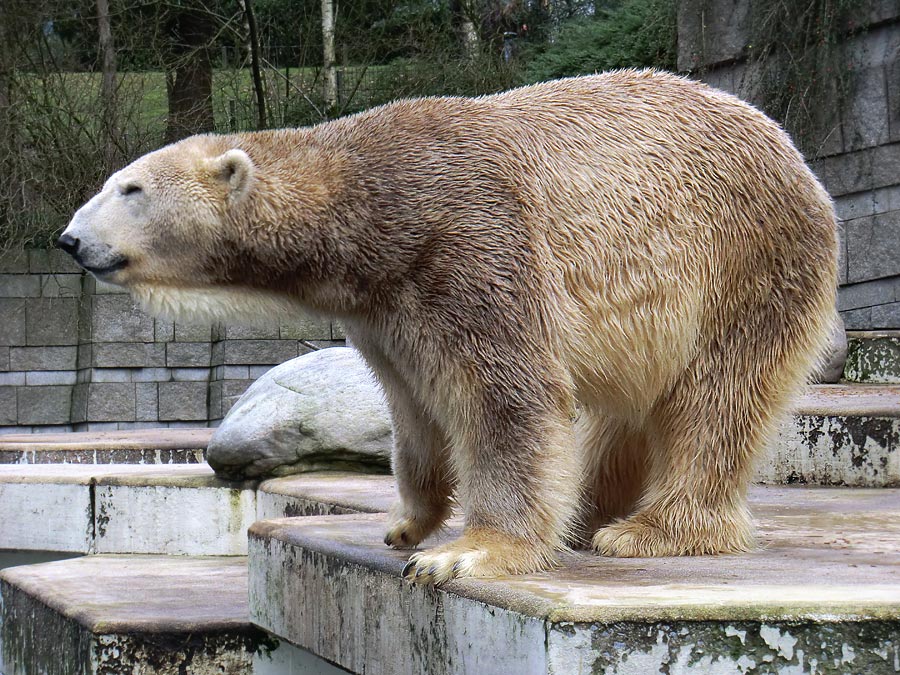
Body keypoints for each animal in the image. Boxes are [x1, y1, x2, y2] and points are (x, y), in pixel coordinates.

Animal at [59, 70, 840, 588]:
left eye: (130, 187)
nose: (70, 239)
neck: (368, 205)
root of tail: (793, 153)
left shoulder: (468, 238)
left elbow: (509, 395)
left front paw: (466, 550)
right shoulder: (385, 309)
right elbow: (412, 409)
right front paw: (408, 521)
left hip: (746, 262)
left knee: (715, 400)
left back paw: (649, 529)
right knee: (624, 414)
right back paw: (590, 510)